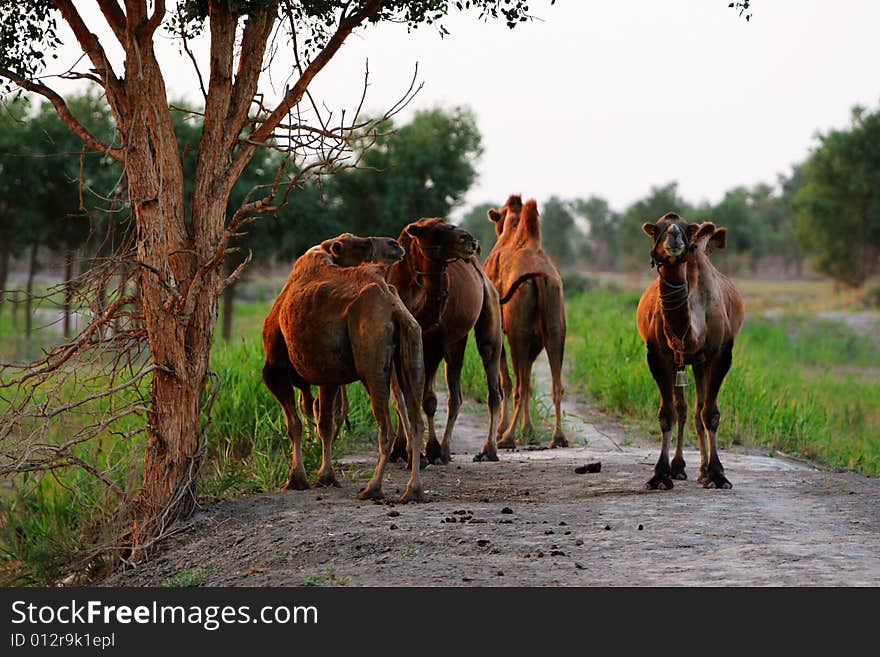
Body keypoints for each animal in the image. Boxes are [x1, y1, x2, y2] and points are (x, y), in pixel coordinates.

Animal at [260, 233, 424, 500]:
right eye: (362, 244)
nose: (395, 245)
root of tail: (393, 305)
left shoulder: (275, 370)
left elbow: (294, 424)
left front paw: (296, 478)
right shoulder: (328, 375)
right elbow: (324, 423)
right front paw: (325, 476)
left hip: (371, 362)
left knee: (386, 428)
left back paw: (372, 488)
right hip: (412, 347)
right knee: (416, 420)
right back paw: (413, 490)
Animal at [384, 218, 502, 464]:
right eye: (437, 230)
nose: (471, 241)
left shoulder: (437, 340)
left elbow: (425, 398)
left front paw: (426, 451)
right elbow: (402, 397)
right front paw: (405, 450)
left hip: (485, 317)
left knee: (488, 385)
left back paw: (482, 450)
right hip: (447, 343)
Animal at [484, 195, 568, 448]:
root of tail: (540, 276)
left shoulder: (500, 329)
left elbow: (506, 381)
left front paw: (502, 429)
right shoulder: (537, 336)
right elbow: (529, 380)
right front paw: (528, 430)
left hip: (516, 329)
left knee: (519, 385)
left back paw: (507, 438)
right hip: (555, 323)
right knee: (555, 384)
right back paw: (558, 437)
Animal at [636, 213, 744, 490]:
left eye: (686, 228)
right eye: (657, 229)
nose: (674, 234)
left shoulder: (721, 354)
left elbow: (710, 413)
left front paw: (717, 474)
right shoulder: (658, 355)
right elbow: (668, 413)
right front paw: (660, 475)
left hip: (700, 363)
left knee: (698, 409)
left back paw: (704, 470)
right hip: (686, 363)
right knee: (684, 409)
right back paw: (680, 467)